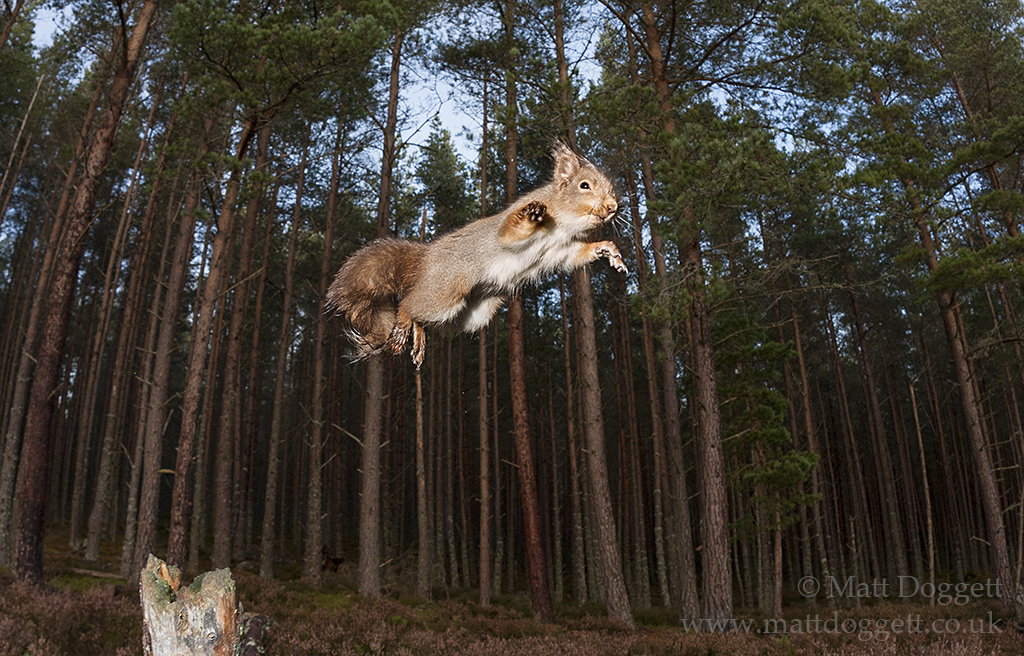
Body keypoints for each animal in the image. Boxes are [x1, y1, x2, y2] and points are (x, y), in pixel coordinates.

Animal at [327, 142, 626, 366]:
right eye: (584, 186)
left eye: (612, 187)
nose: (613, 207)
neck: (564, 224)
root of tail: (425, 260)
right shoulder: (510, 230)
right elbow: (511, 230)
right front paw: (532, 215)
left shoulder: (562, 250)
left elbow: (578, 254)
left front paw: (609, 250)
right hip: (446, 293)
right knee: (409, 304)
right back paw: (403, 323)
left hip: (469, 317)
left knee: (424, 317)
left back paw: (419, 338)